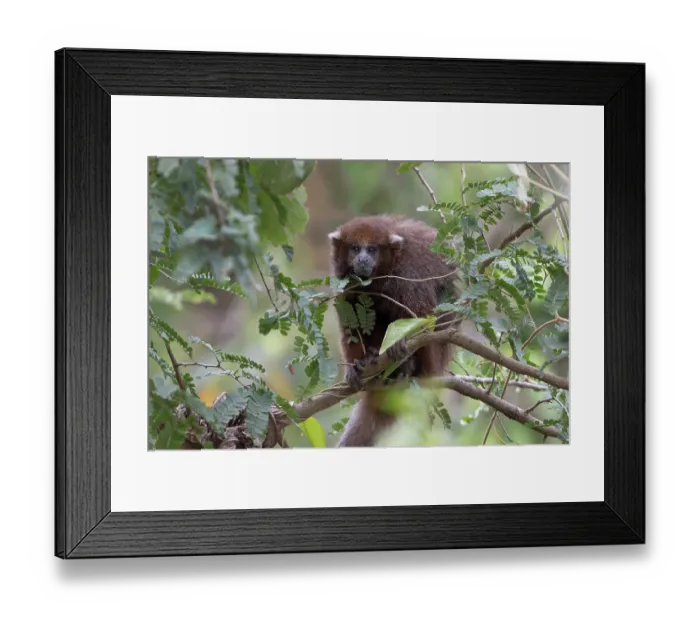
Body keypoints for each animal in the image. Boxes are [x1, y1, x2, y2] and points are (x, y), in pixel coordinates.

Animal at [328, 214, 460, 447]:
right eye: (355, 248)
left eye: (372, 249)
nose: (363, 259)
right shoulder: (343, 284)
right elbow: (350, 328)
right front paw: (353, 367)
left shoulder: (408, 273)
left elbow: (422, 315)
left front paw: (400, 344)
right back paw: (373, 359)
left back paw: (406, 365)